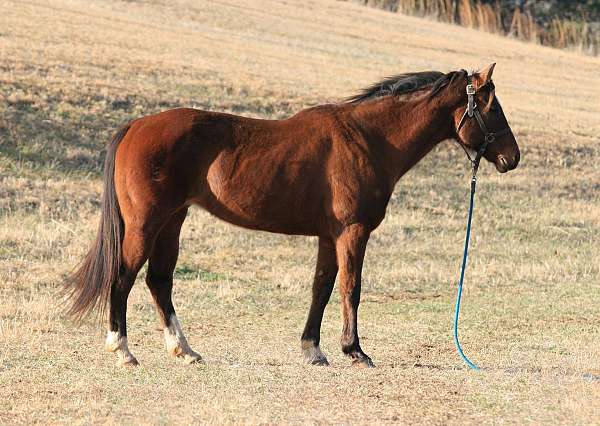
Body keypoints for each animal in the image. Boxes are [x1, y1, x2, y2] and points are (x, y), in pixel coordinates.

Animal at [64, 63, 516, 366]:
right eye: (493, 108)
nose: (512, 158)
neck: (368, 138)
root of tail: (137, 126)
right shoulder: (352, 232)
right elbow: (351, 287)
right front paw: (355, 351)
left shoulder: (329, 236)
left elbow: (322, 287)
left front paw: (313, 349)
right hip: (146, 224)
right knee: (123, 277)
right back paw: (123, 350)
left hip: (172, 222)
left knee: (159, 281)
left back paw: (185, 350)